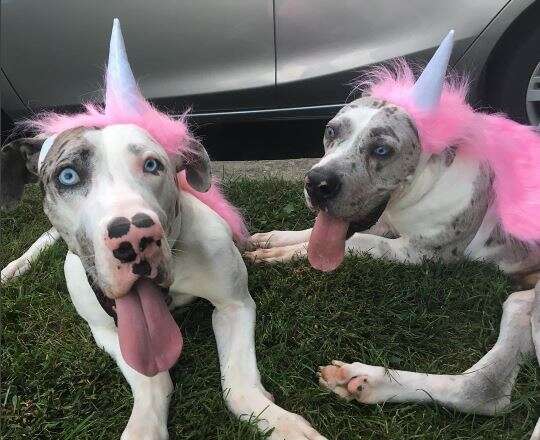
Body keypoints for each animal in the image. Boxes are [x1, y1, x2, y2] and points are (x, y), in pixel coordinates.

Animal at [0, 20, 324, 440]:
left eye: (153, 165)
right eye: (67, 176)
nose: (134, 237)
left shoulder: (234, 305)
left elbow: (239, 388)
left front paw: (283, 423)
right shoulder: (107, 331)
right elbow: (153, 382)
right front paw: (142, 426)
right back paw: (12, 269)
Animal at [246, 32, 540, 438]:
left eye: (382, 149)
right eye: (331, 131)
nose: (317, 182)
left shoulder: (426, 253)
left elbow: (359, 242)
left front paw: (286, 254)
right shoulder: (381, 221)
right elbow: (323, 233)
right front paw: (275, 240)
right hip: (524, 304)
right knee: (490, 379)